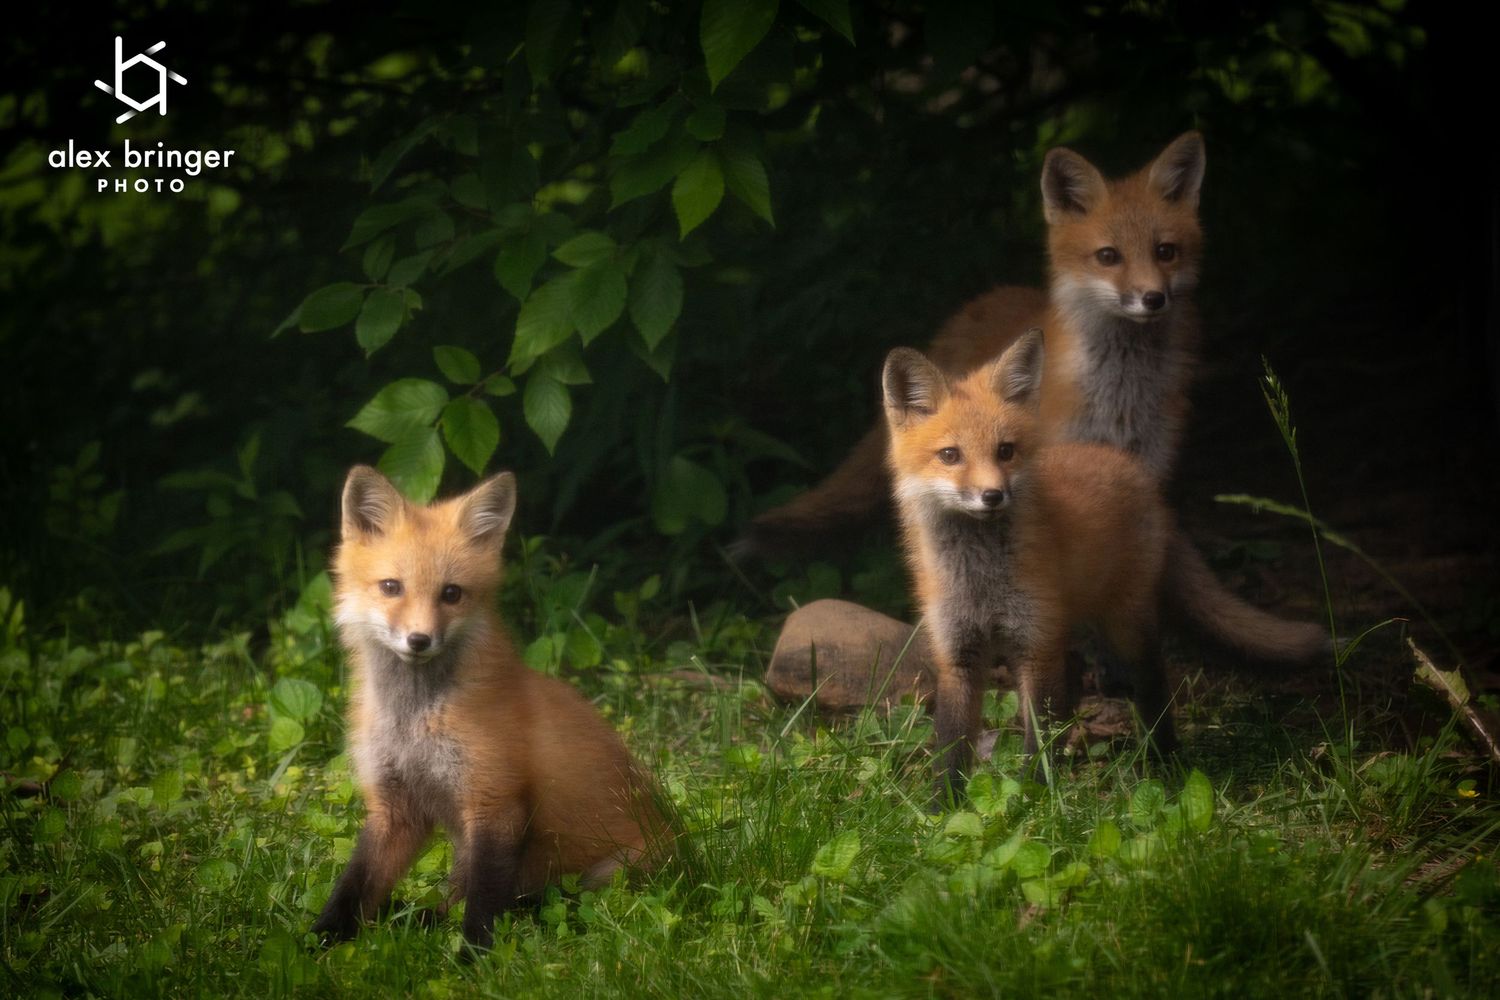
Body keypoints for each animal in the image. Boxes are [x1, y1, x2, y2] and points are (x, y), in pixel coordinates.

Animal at [312, 466, 668, 951]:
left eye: (451, 594)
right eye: (391, 587)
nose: (419, 640)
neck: (416, 720)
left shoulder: (495, 802)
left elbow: (483, 903)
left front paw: (475, 958)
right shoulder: (395, 808)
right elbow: (354, 884)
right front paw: (318, 940)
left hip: (604, 877)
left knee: (531, 901)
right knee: (448, 904)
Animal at [741, 131, 1206, 557]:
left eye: (1165, 251)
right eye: (1108, 256)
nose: (1153, 298)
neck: (1122, 394)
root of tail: (975, 304)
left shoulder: (1145, 469)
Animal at [882, 332, 1328, 799]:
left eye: (1005, 451)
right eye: (950, 455)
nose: (993, 495)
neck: (981, 581)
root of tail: (1137, 473)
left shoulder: (1036, 645)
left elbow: (1038, 738)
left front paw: (1034, 797)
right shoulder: (958, 654)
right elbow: (951, 745)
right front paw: (943, 805)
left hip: (1125, 623)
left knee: (1152, 686)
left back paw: (1164, 760)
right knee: (1076, 680)